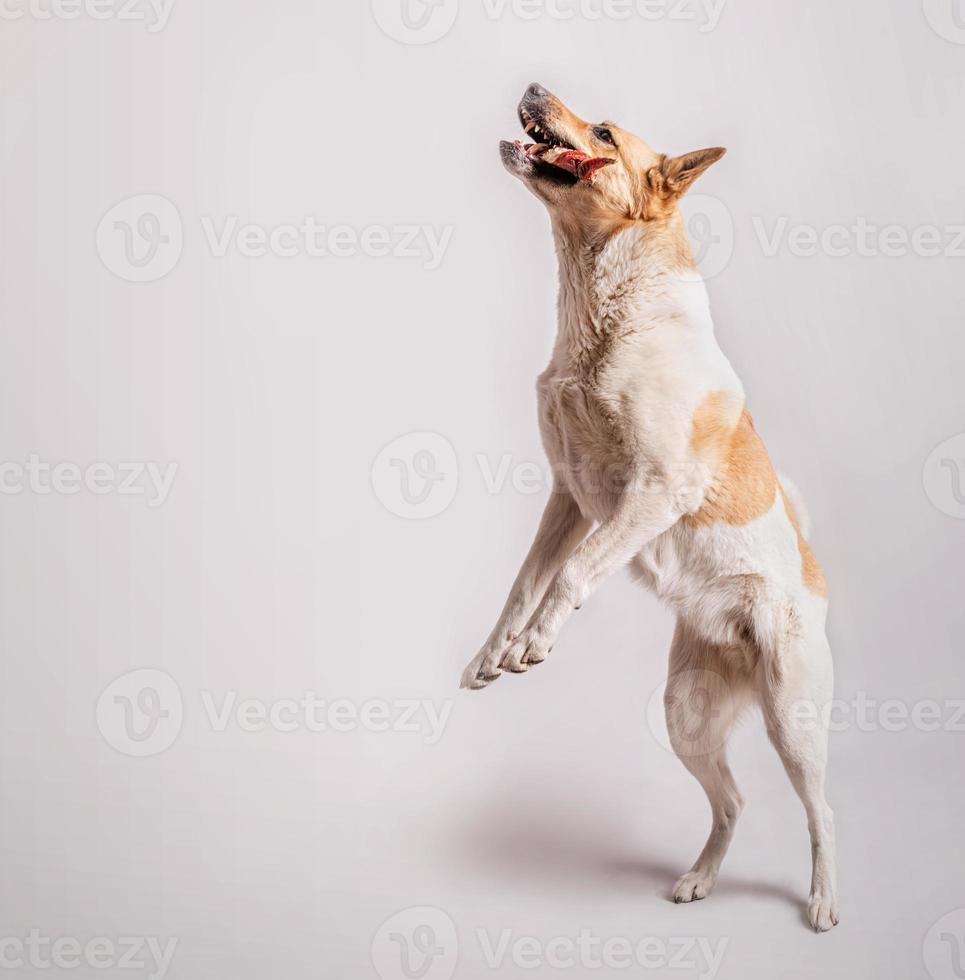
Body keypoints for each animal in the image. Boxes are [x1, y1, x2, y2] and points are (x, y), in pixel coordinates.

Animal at [460, 80, 836, 932]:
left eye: (602, 131)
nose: (532, 84)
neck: (602, 312)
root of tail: (812, 578)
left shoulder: (652, 491)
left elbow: (569, 579)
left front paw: (535, 645)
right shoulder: (567, 499)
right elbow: (522, 586)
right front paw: (495, 652)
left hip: (793, 719)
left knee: (821, 811)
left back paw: (823, 900)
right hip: (684, 715)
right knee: (730, 802)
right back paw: (699, 879)